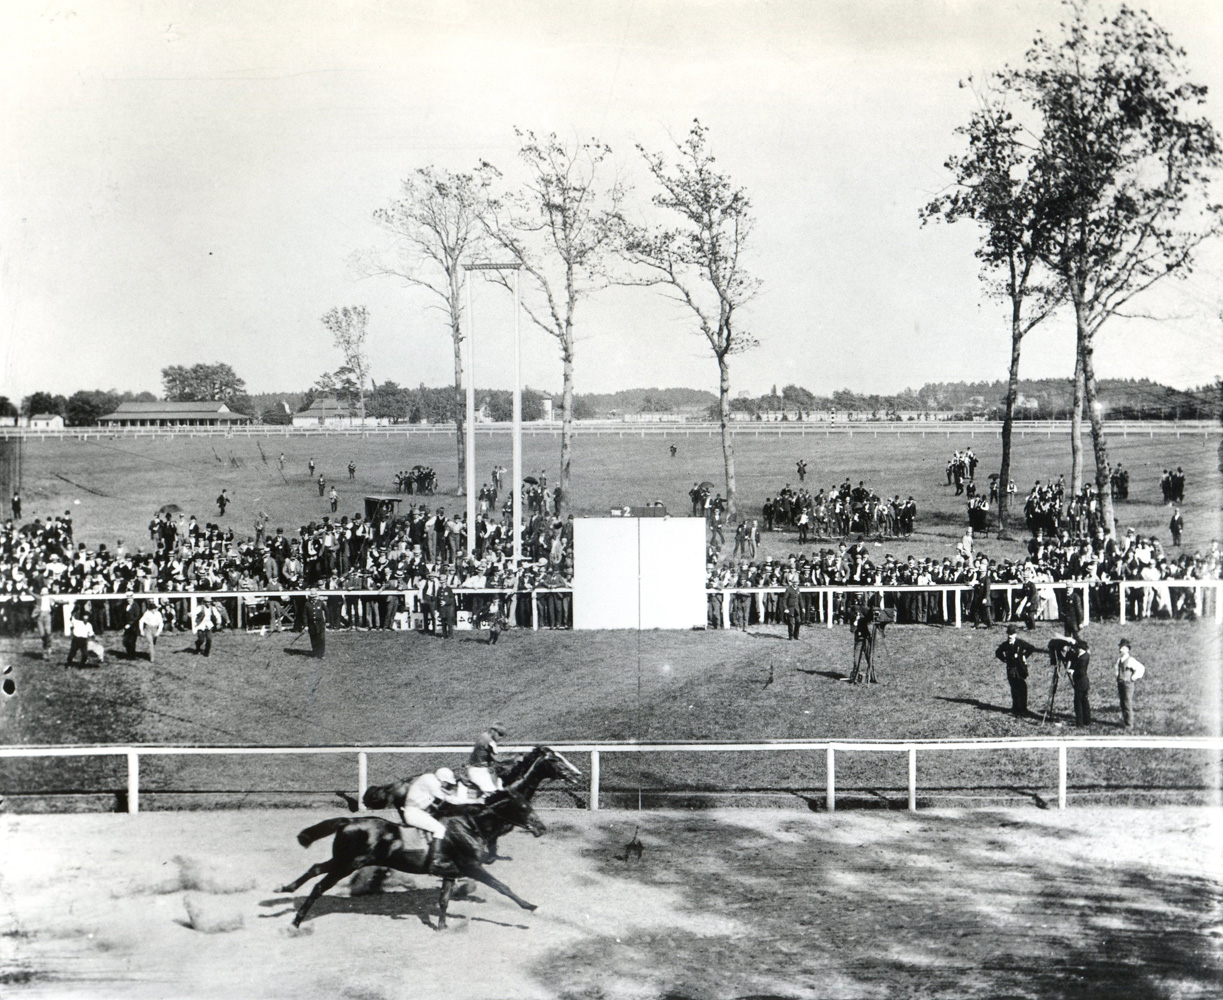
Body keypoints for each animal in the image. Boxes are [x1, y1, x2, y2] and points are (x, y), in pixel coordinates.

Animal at [280, 787, 547, 929]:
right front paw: (531, 907)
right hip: (347, 863)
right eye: (524, 807)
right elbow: (502, 886)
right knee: (319, 886)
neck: (470, 825)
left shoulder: (450, 872)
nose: (541, 828)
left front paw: (442, 927)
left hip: (343, 861)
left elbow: (444, 900)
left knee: (315, 868)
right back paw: (295, 922)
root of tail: (348, 821)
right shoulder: (472, 866)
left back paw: (286, 888)